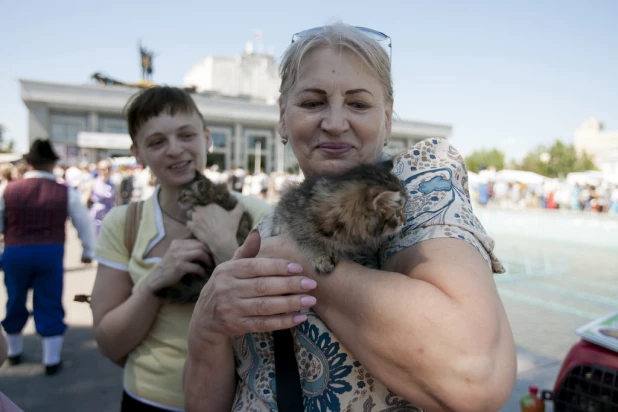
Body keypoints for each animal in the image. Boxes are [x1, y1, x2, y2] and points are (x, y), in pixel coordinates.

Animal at [270, 159, 406, 276]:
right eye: (397, 213)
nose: (404, 222)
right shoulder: (293, 217)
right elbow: (310, 239)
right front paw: (323, 256)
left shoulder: (361, 251)